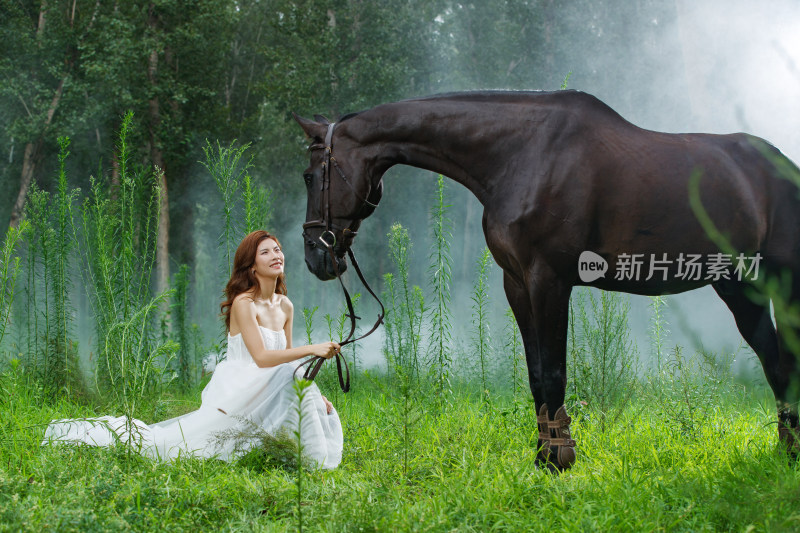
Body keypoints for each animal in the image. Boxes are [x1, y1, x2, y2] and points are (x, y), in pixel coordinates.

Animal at [294, 91, 800, 470]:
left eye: (310, 175)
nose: (316, 257)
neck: (521, 154)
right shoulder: (516, 283)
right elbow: (537, 373)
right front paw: (542, 456)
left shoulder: (549, 281)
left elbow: (554, 371)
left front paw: (560, 460)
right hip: (738, 286)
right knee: (776, 362)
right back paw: (786, 452)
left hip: (778, 283)